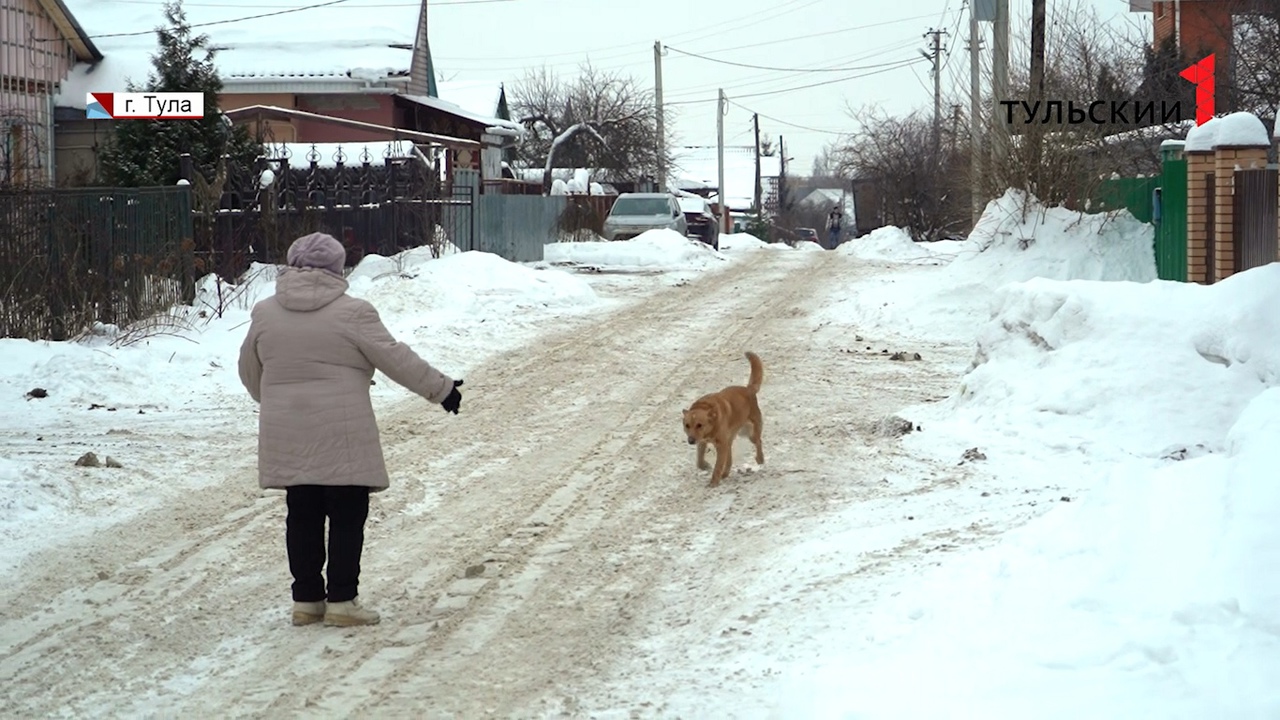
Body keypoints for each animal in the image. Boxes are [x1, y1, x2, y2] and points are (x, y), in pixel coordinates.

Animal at [686, 351, 762, 484]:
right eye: (687, 426)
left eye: (699, 425)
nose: (690, 441)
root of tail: (748, 389)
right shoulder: (702, 442)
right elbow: (699, 460)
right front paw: (705, 466)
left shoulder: (721, 445)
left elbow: (718, 466)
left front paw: (713, 483)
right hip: (733, 439)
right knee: (729, 460)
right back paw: (725, 474)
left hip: (750, 433)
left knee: (758, 442)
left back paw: (760, 458)